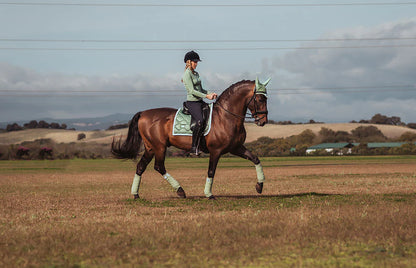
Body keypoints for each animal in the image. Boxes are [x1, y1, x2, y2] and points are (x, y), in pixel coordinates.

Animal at [112, 77, 272, 199]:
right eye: (259, 98)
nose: (263, 121)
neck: (226, 117)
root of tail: (143, 113)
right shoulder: (216, 151)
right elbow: (211, 171)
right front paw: (209, 194)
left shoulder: (236, 148)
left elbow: (255, 159)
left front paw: (259, 186)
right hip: (159, 147)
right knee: (159, 166)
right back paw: (180, 191)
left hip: (150, 148)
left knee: (141, 166)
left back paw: (136, 194)